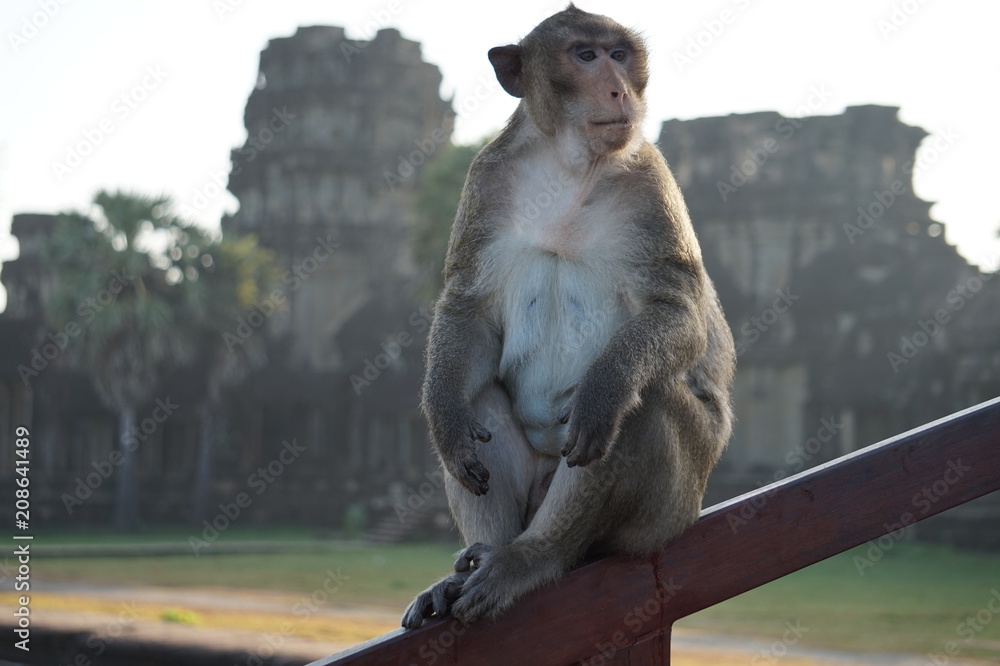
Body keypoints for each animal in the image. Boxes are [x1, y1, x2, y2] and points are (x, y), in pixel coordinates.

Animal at [402, 4, 735, 629]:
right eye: (586, 55)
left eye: (619, 54)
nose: (619, 87)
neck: (569, 163)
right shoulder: (485, 179)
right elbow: (469, 308)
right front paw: (447, 419)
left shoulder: (650, 182)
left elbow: (676, 312)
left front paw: (604, 388)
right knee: (479, 394)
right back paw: (481, 556)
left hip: (670, 510)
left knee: (643, 404)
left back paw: (534, 557)